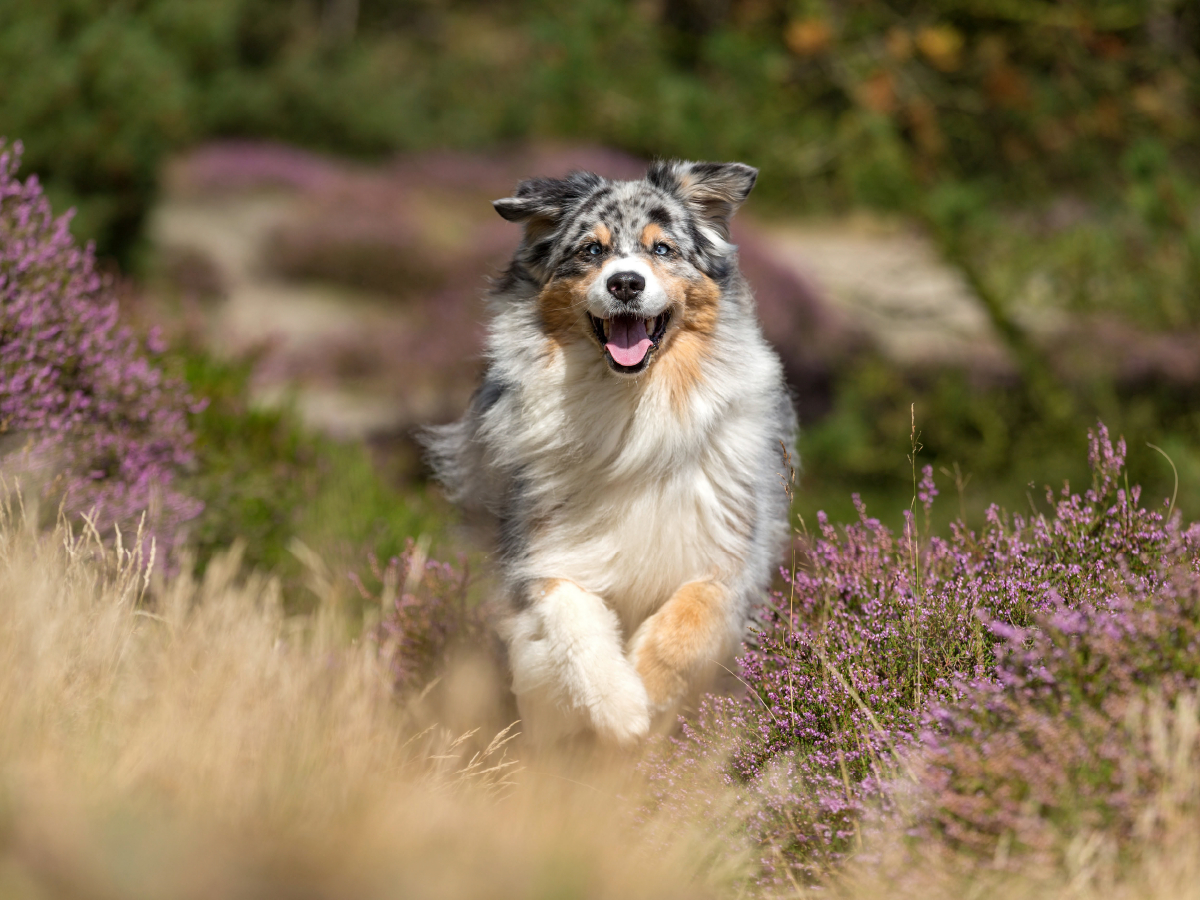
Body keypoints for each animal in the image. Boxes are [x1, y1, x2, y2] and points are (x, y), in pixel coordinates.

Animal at [424, 160, 796, 748]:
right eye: (591, 250)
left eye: (662, 248)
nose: (625, 282)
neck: (629, 409)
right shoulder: (540, 554)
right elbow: (573, 621)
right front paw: (621, 706)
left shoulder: (730, 551)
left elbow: (691, 618)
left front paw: (650, 689)